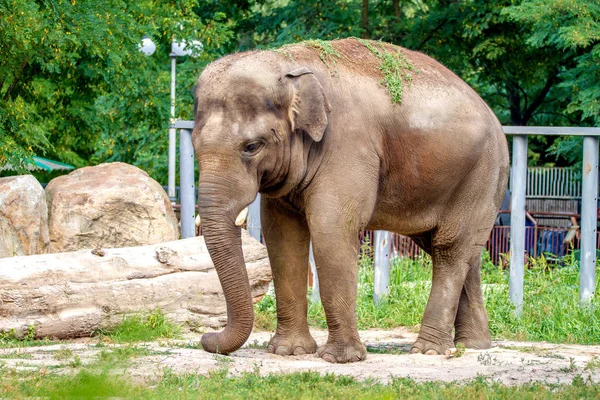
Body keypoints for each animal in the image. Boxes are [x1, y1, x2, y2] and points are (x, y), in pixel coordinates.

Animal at [191, 37, 506, 362]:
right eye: (193, 145)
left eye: (252, 146)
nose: (206, 337)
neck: (289, 62)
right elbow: (282, 235)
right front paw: (289, 352)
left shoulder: (348, 144)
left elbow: (331, 229)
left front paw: (341, 359)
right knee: (463, 253)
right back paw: (473, 345)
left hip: (482, 175)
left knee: (450, 250)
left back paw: (429, 350)